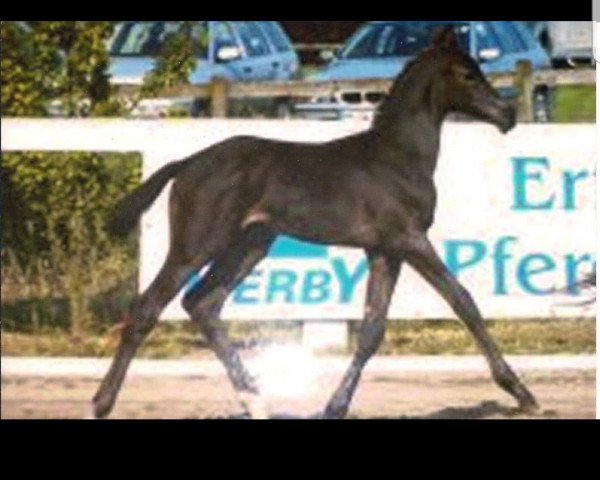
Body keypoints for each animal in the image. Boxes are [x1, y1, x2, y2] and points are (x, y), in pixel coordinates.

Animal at [92, 26, 540, 418]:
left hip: (250, 243)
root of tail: (186, 163)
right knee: (148, 308)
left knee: (202, 303)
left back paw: (257, 402)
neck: (399, 157)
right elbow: (464, 302)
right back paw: (101, 403)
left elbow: (372, 330)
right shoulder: (410, 239)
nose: (507, 114)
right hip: (197, 243)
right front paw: (522, 393)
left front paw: (334, 406)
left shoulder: (384, 250)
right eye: (467, 73)